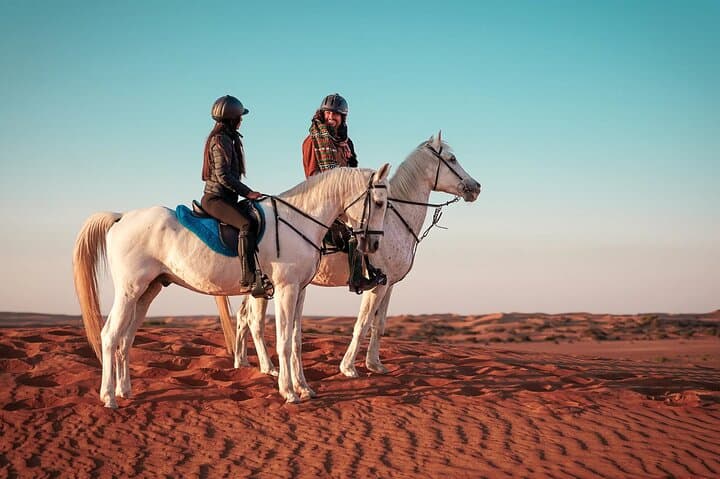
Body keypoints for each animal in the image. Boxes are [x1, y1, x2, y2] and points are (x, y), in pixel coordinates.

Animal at [73, 165, 391, 407]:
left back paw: (124, 390)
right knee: (109, 335)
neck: (298, 219)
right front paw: (288, 392)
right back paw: (108, 397)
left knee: (126, 339)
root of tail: (121, 217)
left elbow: (297, 341)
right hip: (129, 291)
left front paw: (304, 388)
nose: (374, 244)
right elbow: (284, 341)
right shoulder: (286, 289)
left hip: (147, 292)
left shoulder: (299, 291)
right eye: (378, 202)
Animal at [218, 132, 481, 378]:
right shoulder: (377, 284)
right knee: (253, 321)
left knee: (243, 317)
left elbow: (379, 324)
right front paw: (349, 367)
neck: (393, 220)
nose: (476, 187)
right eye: (452, 159)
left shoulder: (389, 285)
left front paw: (375, 364)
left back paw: (242, 363)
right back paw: (268, 368)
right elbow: (363, 323)